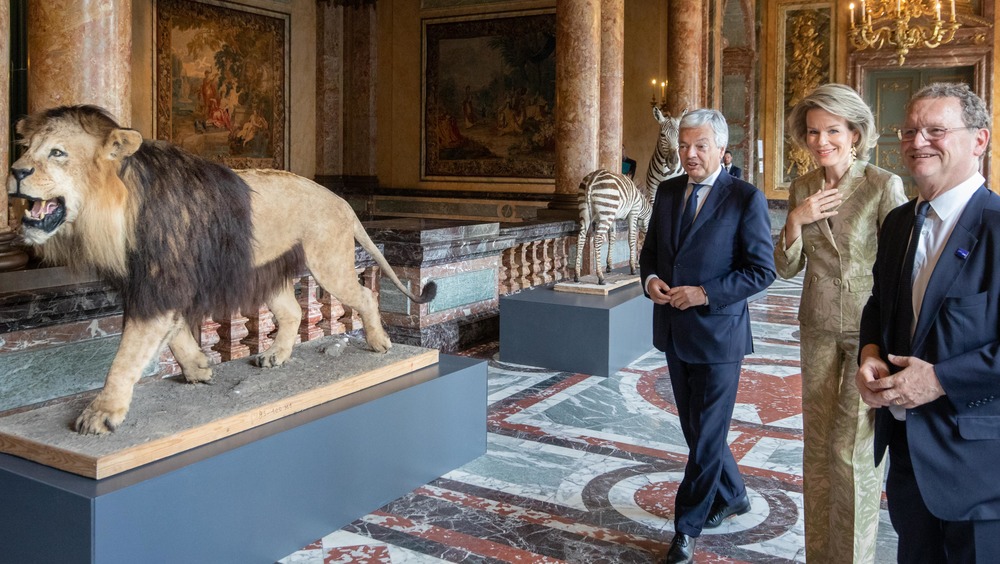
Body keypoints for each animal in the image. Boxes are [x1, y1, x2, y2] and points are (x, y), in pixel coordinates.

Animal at [4, 106, 434, 436]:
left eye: (57, 152)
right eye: (26, 149)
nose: (16, 171)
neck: (114, 208)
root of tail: (340, 199)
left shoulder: (160, 282)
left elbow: (126, 356)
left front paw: (101, 414)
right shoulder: (162, 284)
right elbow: (175, 334)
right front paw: (198, 369)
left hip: (329, 265)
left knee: (364, 296)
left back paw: (379, 343)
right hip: (265, 268)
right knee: (293, 312)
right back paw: (274, 356)